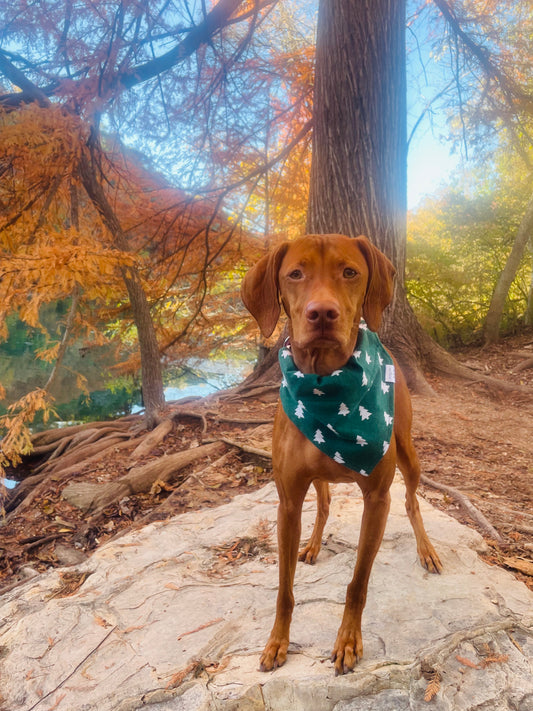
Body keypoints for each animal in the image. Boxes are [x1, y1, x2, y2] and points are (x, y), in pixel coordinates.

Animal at [241, 236, 440, 676]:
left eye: (350, 272)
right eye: (295, 274)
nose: (322, 313)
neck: (325, 385)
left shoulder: (377, 500)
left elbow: (358, 583)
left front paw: (348, 640)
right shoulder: (287, 502)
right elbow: (284, 589)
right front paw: (277, 642)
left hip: (408, 453)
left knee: (412, 501)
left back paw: (427, 550)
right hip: (317, 478)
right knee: (325, 503)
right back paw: (313, 545)